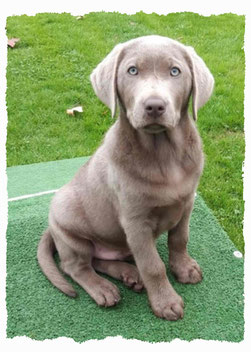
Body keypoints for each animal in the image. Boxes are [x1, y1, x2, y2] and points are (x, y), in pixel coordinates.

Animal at [37, 35, 214, 320]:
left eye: (175, 71)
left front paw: (184, 268)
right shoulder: (135, 221)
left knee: (101, 260)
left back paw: (129, 275)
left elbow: (179, 239)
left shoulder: (187, 203)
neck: (163, 156)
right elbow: (153, 265)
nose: (154, 106)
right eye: (132, 71)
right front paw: (166, 303)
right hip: (70, 233)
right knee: (75, 266)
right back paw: (104, 289)